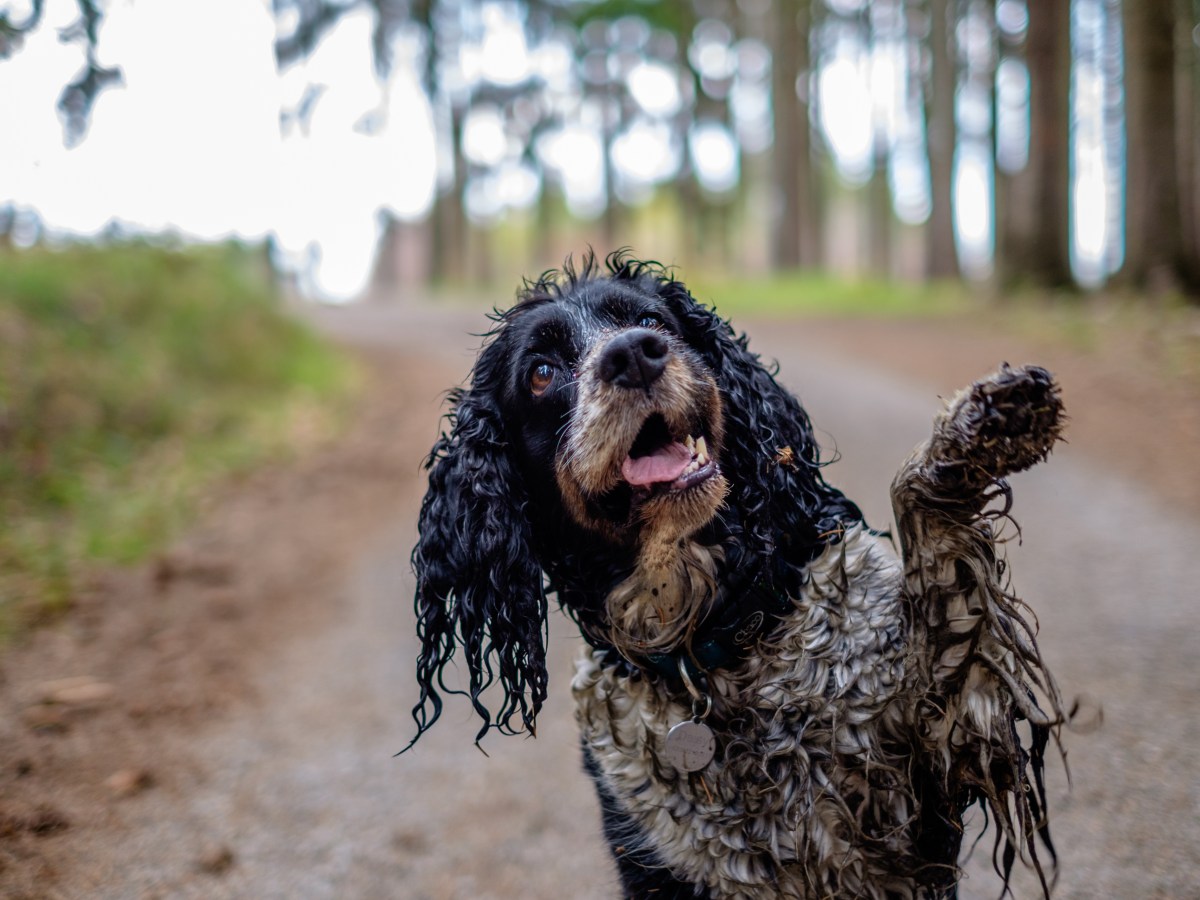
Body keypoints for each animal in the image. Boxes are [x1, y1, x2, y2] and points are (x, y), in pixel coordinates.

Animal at [405, 255, 1070, 900]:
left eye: (653, 321)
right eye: (541, 372)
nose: (634, 354)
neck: (718, 644)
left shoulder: (947, 744)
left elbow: (927, 534)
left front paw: (985, 423)